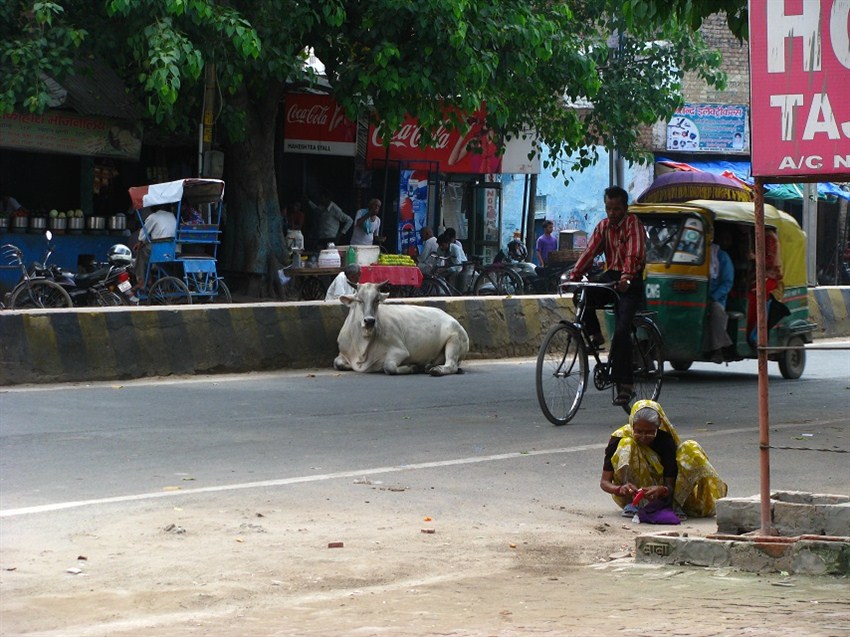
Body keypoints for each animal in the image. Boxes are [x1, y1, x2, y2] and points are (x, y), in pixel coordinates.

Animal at [334, 282, 470, 376]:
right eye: (359, 300)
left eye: (377, 300)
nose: (369, 321)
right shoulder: (343, 352)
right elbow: (337, 363)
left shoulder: (400, 350)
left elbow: (389, 367)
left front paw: (411, 367)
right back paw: (427, 366)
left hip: (455, 339)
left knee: (452, 365)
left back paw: (436, 370)